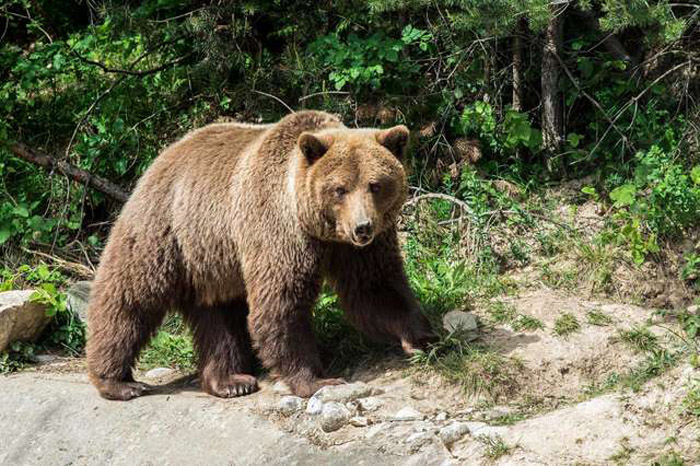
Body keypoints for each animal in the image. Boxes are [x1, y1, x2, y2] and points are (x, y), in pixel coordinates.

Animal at [87, 110, 432, 400]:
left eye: (375, 185)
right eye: (339, 189)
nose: (362, 227)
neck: (318, 229)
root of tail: (161, 157)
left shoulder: (356, 250)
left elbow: (375, 287)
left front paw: (421, 337)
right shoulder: (277, 231)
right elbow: (281, 304)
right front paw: (315, 379)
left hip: (214, 261)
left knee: (219, 317)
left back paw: (230, 381)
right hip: (165, 234)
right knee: (129, 297)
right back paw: (118, 381)